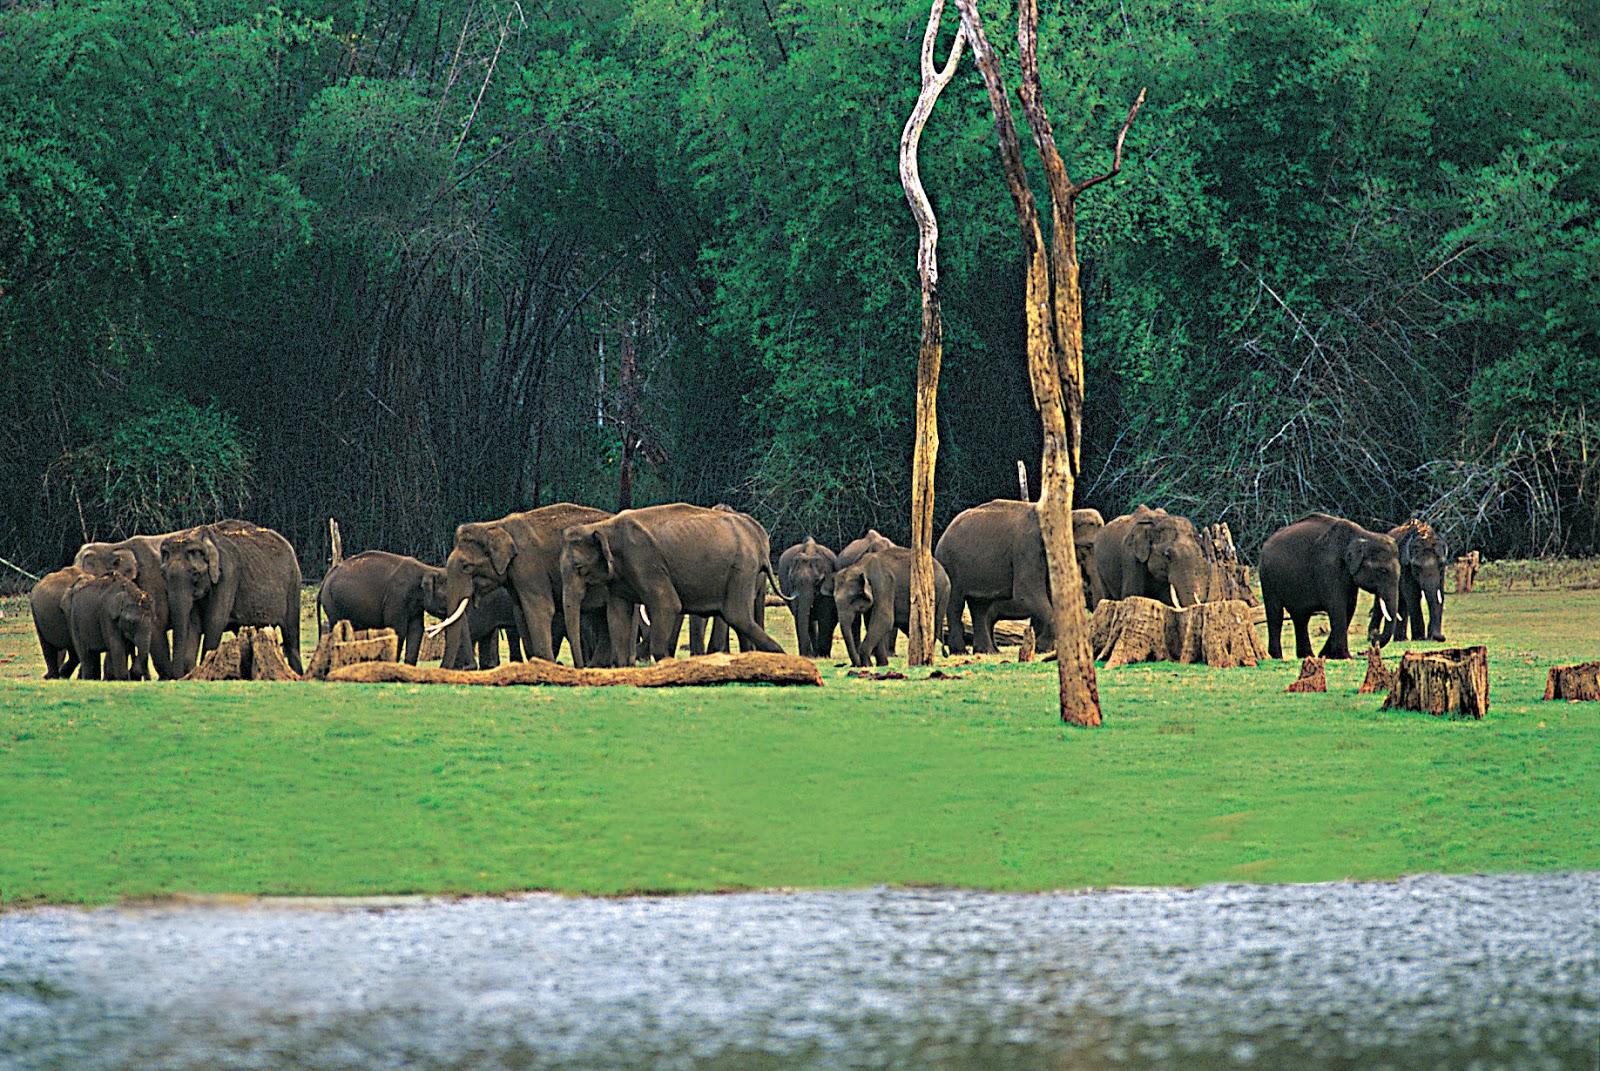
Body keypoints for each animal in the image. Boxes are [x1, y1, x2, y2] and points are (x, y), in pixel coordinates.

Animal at [161, 518, 302, 675]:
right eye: (163, 574)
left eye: (195, 573)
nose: (176, 677)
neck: (202, 537)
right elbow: (193, 625)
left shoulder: (227, 576)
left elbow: (214, 623)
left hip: (294, 585)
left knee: (291, 636)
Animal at [438, 502, 611, 669]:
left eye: (466, 566)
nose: (466, 667)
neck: (496, 525)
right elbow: (521, 613)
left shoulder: (529, 565)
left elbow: (540, 610)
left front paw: (545, 664)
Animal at [560, 502, 784, 669]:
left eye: (578, 567)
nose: (581, 666)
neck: (604, 526)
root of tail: (758, 539)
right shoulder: (619, 576)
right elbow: (617, 613)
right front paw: (622, 667)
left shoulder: (644, 561)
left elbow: (668, 605)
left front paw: (666, 663)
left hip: (742, 568)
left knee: (736, 615)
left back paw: (782, 658)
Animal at [1260, 512, 1401, 659]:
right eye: (1383, 570)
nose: (1374, 636)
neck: (1362, 535)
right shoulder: (1329, 567)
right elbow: (1337, 606)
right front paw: (1344, 656)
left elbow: (1350, 606)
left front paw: (1326, 655)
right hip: (1267, 577)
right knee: (1276, 614)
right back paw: (1277, 656)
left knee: (1301, 616)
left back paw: (1307, 656)